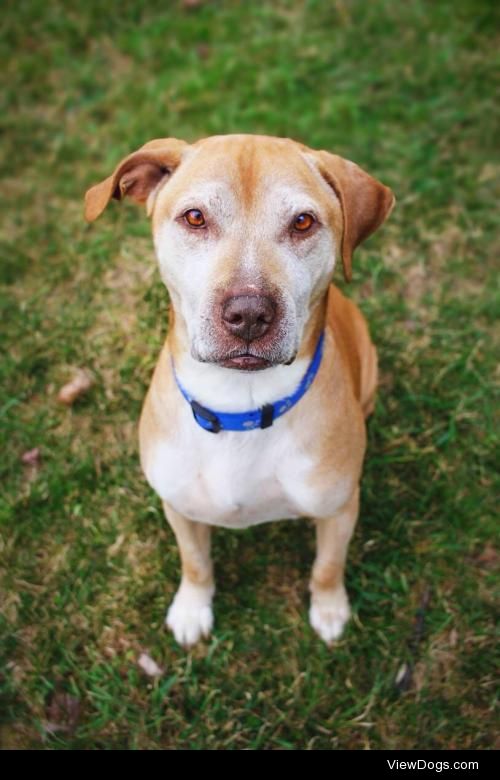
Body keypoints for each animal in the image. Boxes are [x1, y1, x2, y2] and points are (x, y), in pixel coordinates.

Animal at [87, 134, 398, 644]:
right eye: (195, 217)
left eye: (303, 222)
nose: (249, 313)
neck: (243, 405)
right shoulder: (179, 508)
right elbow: (195, 564)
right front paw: (192, 610)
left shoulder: (338, 510)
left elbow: (327, 567)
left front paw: (330, 610)